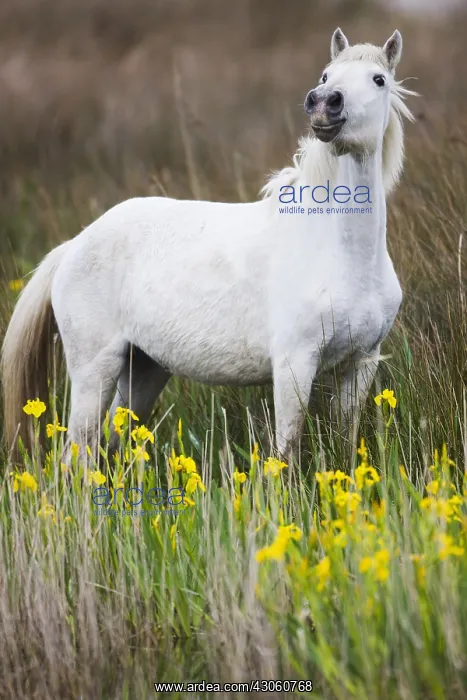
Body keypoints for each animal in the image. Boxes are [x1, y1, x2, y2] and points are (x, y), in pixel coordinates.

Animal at [1, 28, 415, 462]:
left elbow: (346, 445)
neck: (341, 254)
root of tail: (75, 244)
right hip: (93, 371)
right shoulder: (295, 363)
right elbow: (285, 451)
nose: (323, 104)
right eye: (325, 75)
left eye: (379, 80)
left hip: (143, 369)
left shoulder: (361, 363)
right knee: (77, 455)